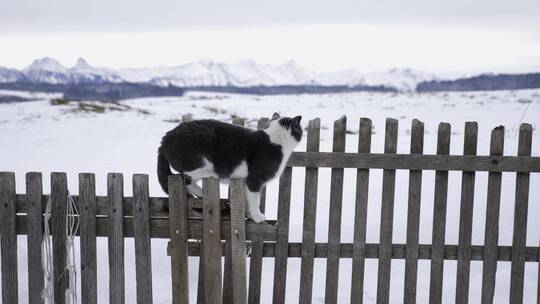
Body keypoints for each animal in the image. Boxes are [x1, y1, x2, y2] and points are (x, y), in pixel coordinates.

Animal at [157, 113, 304, 222]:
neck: (276, 140)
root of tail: (165, 139)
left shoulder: (246, 182)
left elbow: (247, 199)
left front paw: (248, 214)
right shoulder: (255, 180)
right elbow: (255, 200)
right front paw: (258, 217)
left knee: (189, 181)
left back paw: (201, 193)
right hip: (200, 161)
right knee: (187, 176)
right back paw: (210, 179)